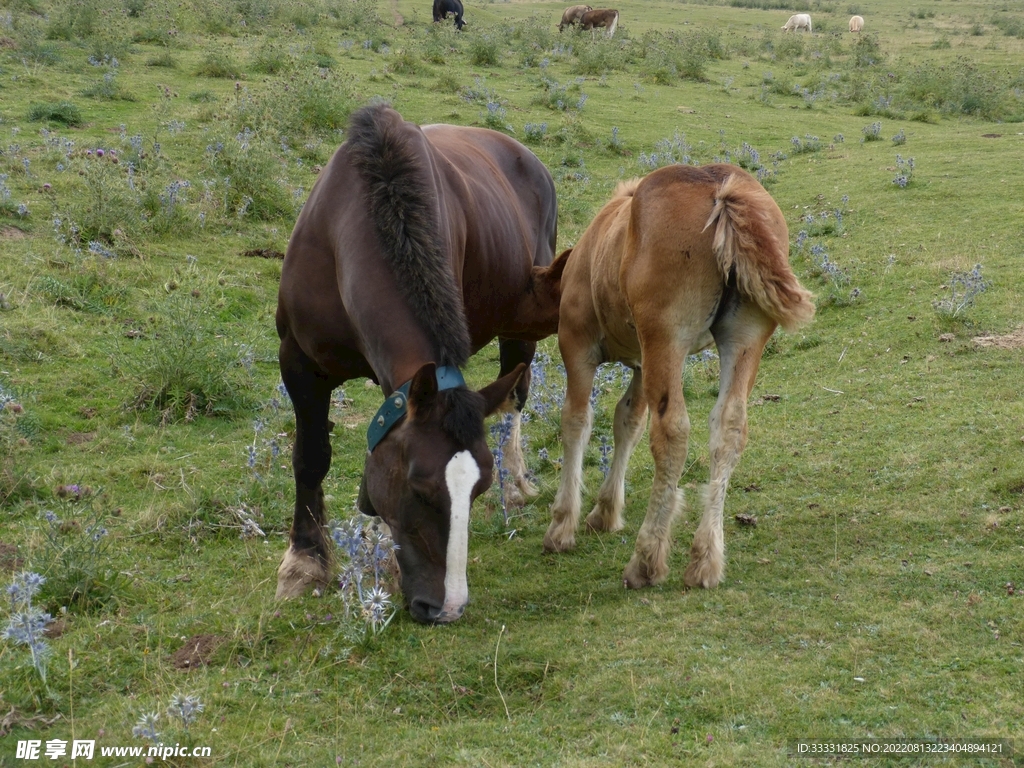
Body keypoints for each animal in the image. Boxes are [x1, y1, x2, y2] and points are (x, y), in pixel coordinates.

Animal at [275, 104, 566, 623]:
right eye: (418, 489)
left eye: (478, 489)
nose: (447, 607)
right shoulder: (298, 362)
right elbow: (311, 456)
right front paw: (304, 562)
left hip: (521, 328)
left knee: (516, 394)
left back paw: (517, 483)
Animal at [543, 164, 814, 591]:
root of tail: (720, 187)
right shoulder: (642, 363)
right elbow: (627, 421)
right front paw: (605, 511)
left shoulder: (577, 347)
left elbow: (576, 422)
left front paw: (562, 524)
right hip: (742, 340)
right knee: (729, 428)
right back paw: (705, 559)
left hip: (665, 340)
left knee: (672, 432)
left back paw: (646, 559)